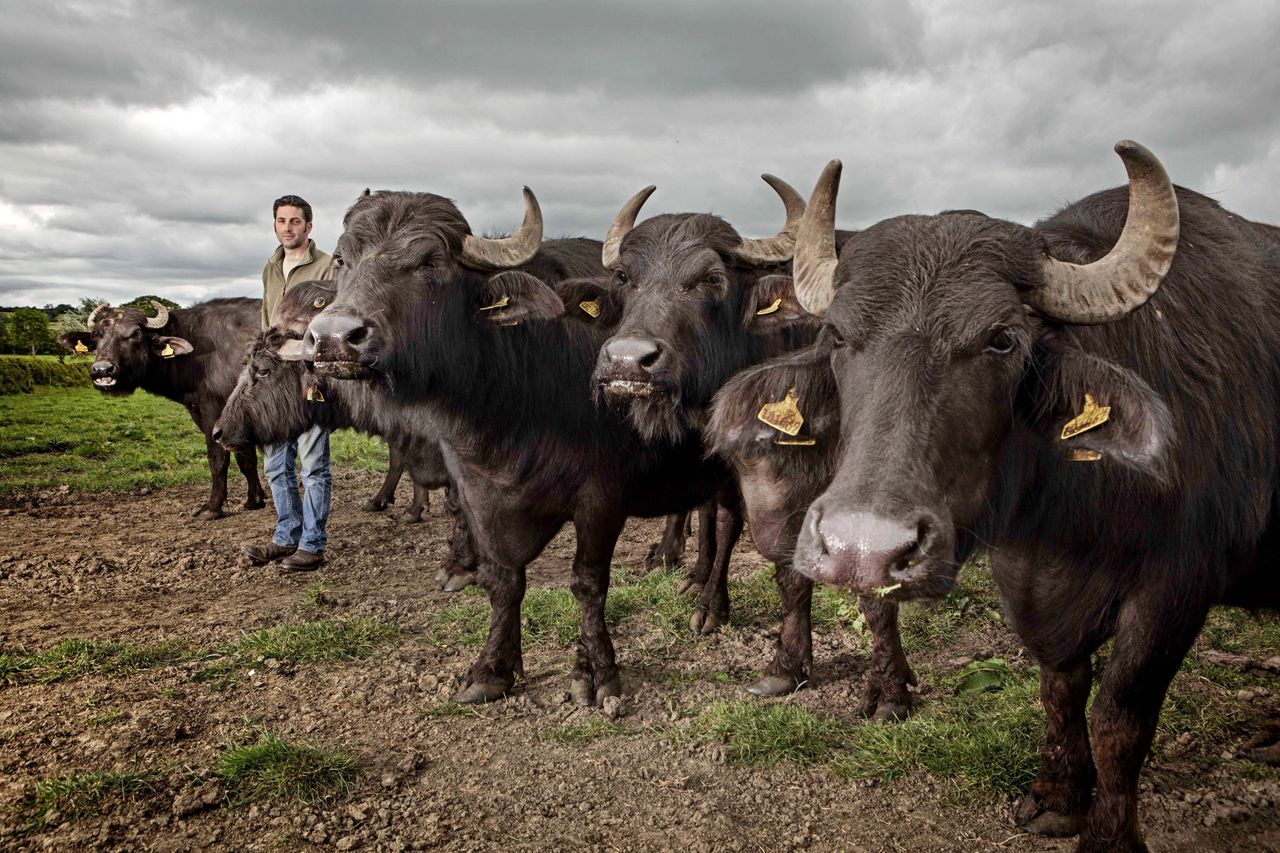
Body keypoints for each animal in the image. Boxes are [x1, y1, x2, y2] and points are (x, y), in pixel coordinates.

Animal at [58, 297, 266, 517]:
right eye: (96, 334)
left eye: (136, 334)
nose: (102, 370)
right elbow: (246, 458)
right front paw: (254, 500)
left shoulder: (214, 410)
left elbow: (218, 458)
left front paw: (212, 507)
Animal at [299, 185, 737, 701]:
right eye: (342, 259)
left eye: (430, 262)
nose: (332, 338)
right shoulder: (475, 491)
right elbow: (503, 579)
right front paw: (492, 669)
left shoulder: (602, 498)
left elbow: (588, 582)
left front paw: (597, 673)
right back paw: (685, 568)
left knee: (727, 524)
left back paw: (708, 601)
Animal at [783, 140, 1274, 850]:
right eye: (838, 337)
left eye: (1002, 338)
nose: (862, 549)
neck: (1070, 517)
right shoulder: (1027, 579)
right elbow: (1061, 686)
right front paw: (1059, 796)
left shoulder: (1179, 589)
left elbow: (1119, 716)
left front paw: (1108, 835)